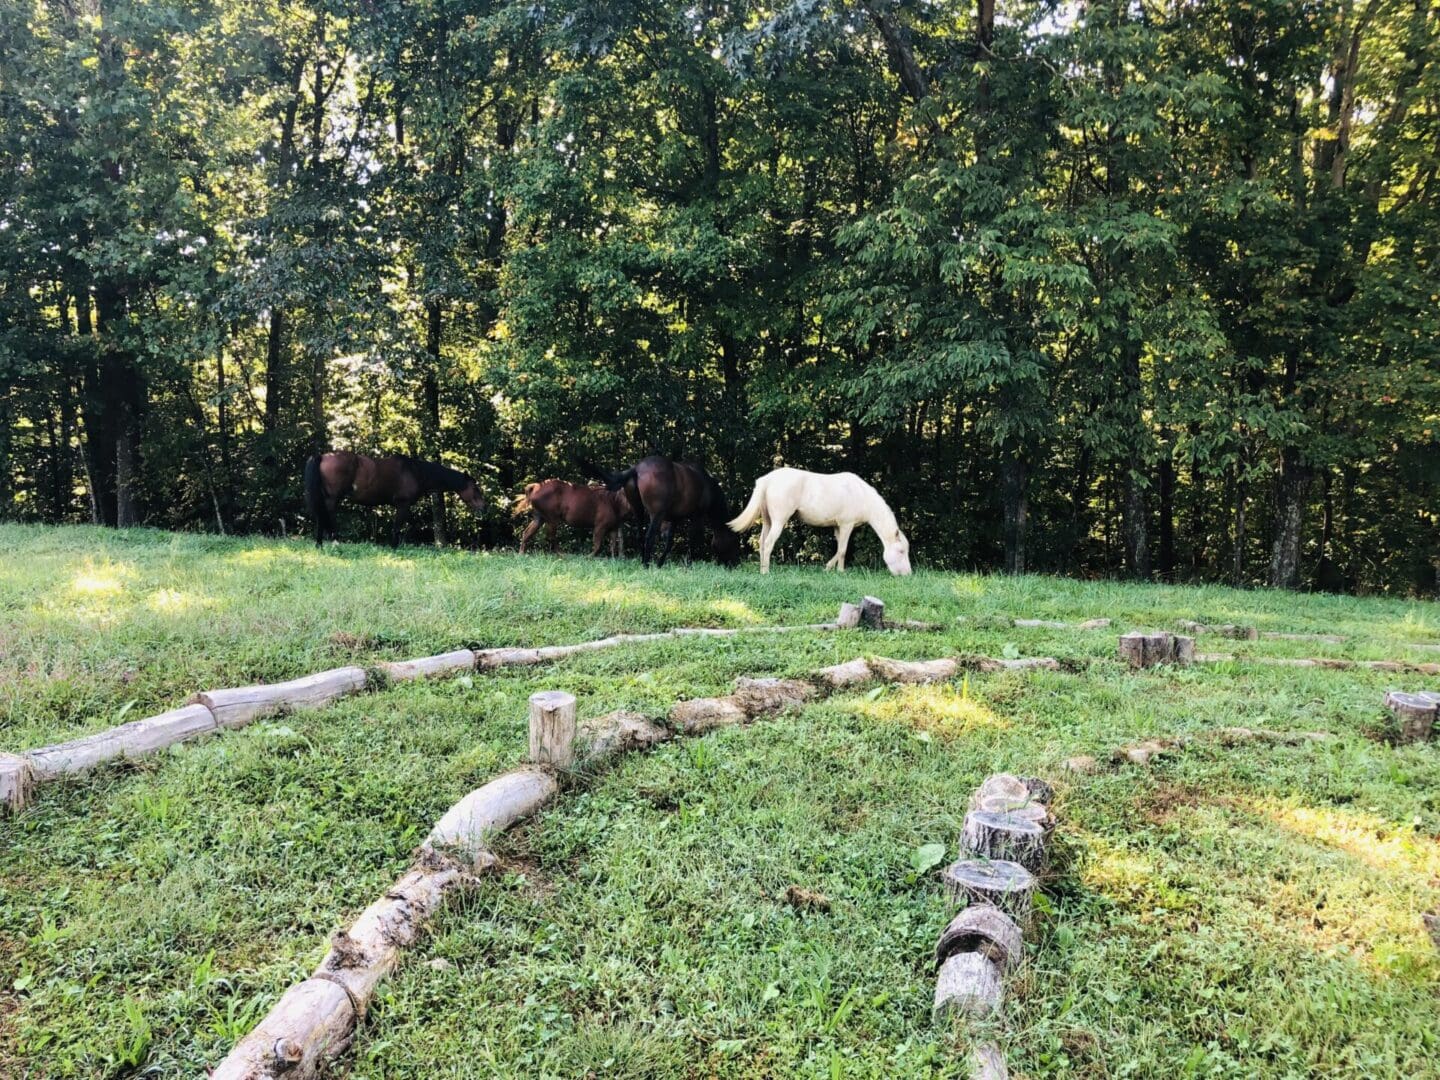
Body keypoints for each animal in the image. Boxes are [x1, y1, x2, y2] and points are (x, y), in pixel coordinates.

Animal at [302, 449, 483, 550]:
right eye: (475, 489)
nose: (484, 507)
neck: (415, 472)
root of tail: (323, 456)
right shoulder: (403, 505)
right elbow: (397, 527)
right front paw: (394, 548)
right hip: (332, 499)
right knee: (328, 517)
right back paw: (334, 542)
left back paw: (319, 544)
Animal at [581, 457, 743, 570]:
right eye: (735, 542)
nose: (735, 564)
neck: (708, 485)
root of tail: (637, 469)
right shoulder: (697, 517)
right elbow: (694, 540)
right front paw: (689, 564)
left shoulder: (674, 519)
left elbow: (669, 542)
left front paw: (660, 563)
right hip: (656, 515)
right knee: (649, 536)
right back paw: (646, 564)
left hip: (639, 511)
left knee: (641, 535)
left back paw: (643, 561)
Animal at [725, 469, 915, 578]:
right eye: (901, 551)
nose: (908, 574)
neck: (862, 496)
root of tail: (768, 480)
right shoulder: (846, 525)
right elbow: (843, 550)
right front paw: (832, 569)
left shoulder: (838, 527)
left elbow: (840, 550)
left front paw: (838, 570)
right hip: (779, 521)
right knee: (769, 543)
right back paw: (766, 572)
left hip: (767, 521)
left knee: (762, 542)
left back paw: (761, 570)